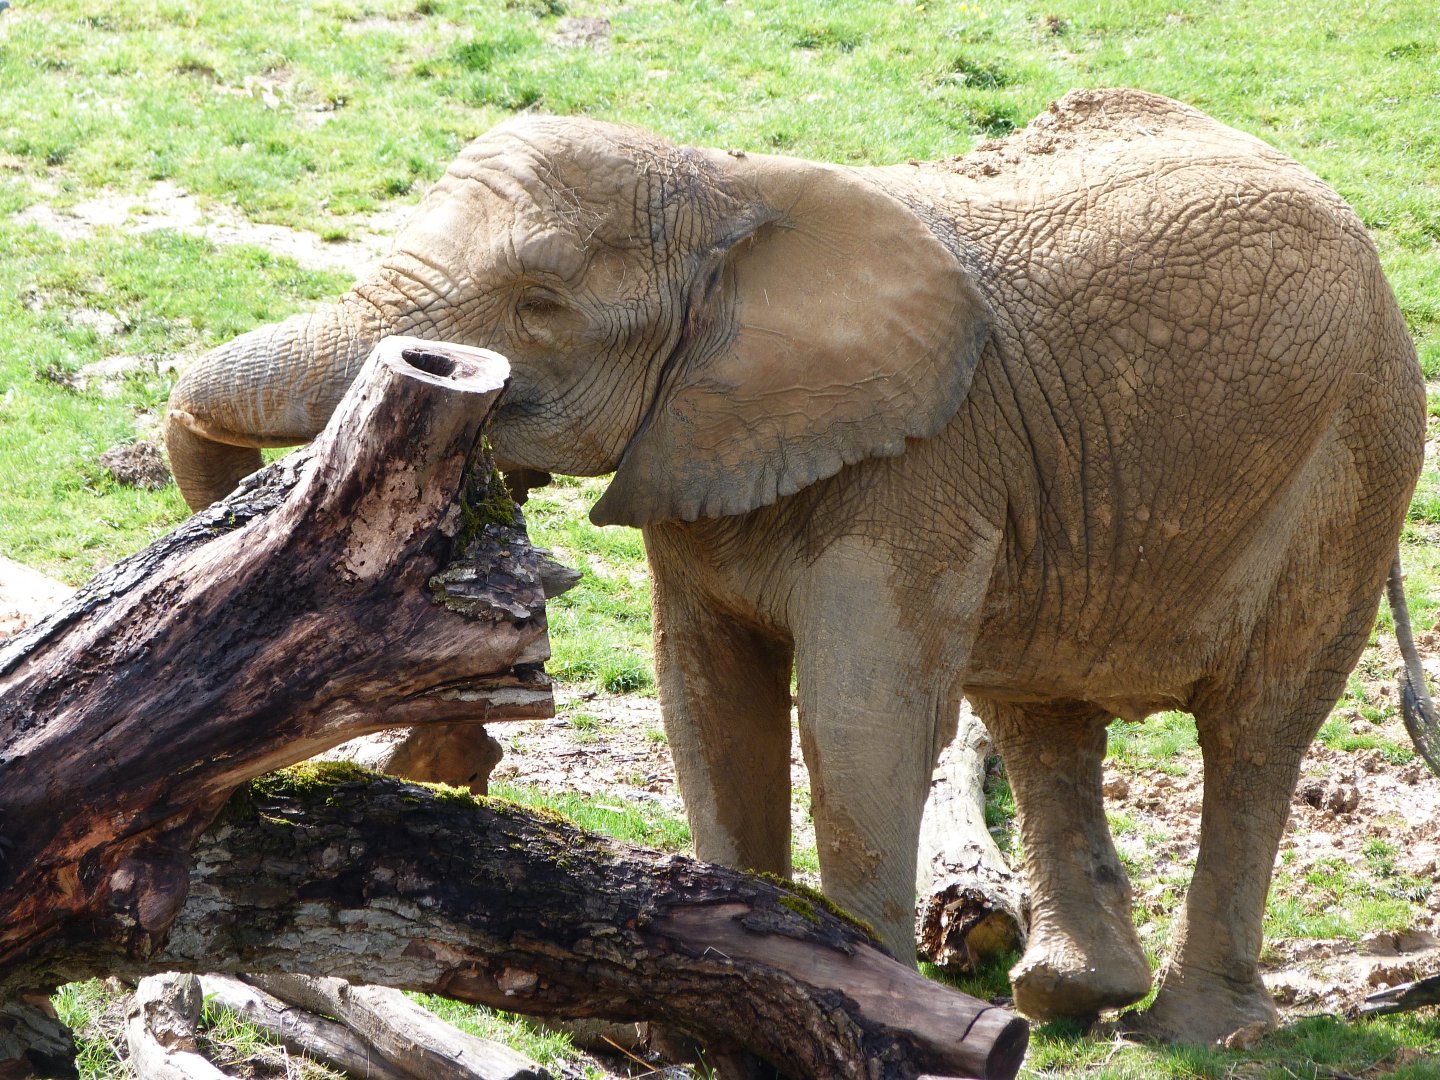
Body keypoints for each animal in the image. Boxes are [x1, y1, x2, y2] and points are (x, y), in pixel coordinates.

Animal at [163, 88, 1434, 1044]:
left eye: (541, 304)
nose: (455, 754)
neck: (723, 186)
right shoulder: (697, 449)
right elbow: (707, 699)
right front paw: (722, 1001)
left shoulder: (922, 462)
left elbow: (857, 710)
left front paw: (874, 1012)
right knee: (1041, 717)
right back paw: (1068, 1000)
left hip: (1359, 454)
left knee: (1254, 734)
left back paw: (1194, 1030)